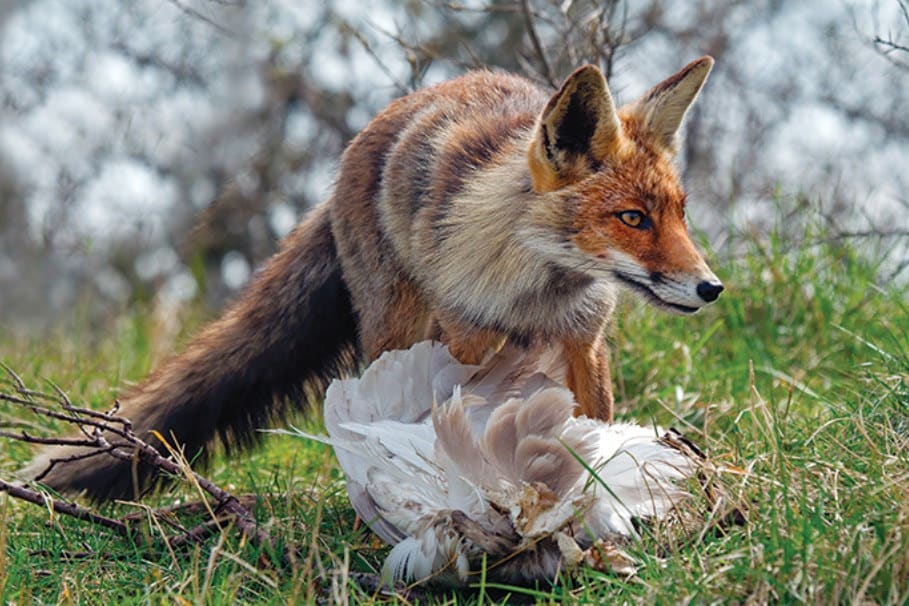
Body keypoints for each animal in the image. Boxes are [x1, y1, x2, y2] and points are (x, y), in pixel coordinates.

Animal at [30, 55, 724, 498]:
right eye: (632, 218)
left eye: (680, 214)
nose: (711, 288)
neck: (533, 297)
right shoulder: (467, 340)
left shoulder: (584, 341)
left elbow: (595, 430)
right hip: (400, 331)